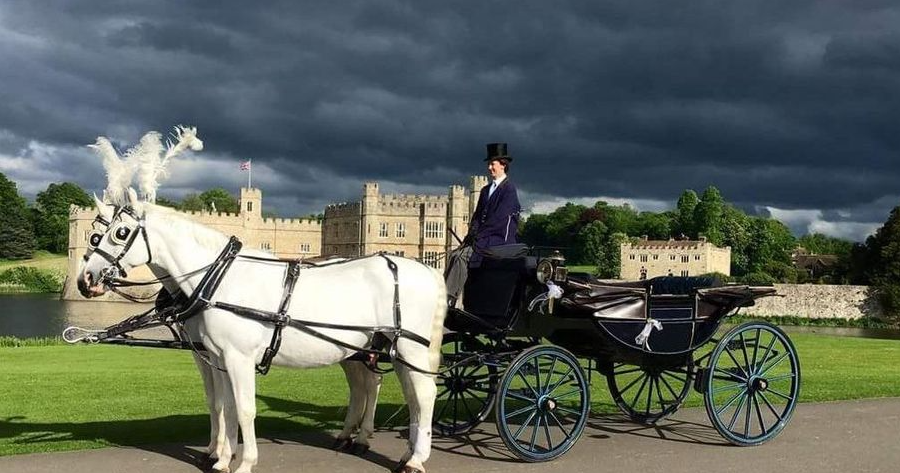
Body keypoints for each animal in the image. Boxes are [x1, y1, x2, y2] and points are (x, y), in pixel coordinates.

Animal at [77, 189, 446, 473]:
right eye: (95, 233)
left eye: (119, 232)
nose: (85, 279)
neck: (220, 278)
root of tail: (426, 269)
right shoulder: (216, 357)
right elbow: (223, 406)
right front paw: (220, 458)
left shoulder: (237, 358)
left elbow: (243, 409)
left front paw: (243, 461)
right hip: (382, 349)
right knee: (392, 391)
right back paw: (388, 447)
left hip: (409, 348)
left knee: (424, 394)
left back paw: (415, 458)